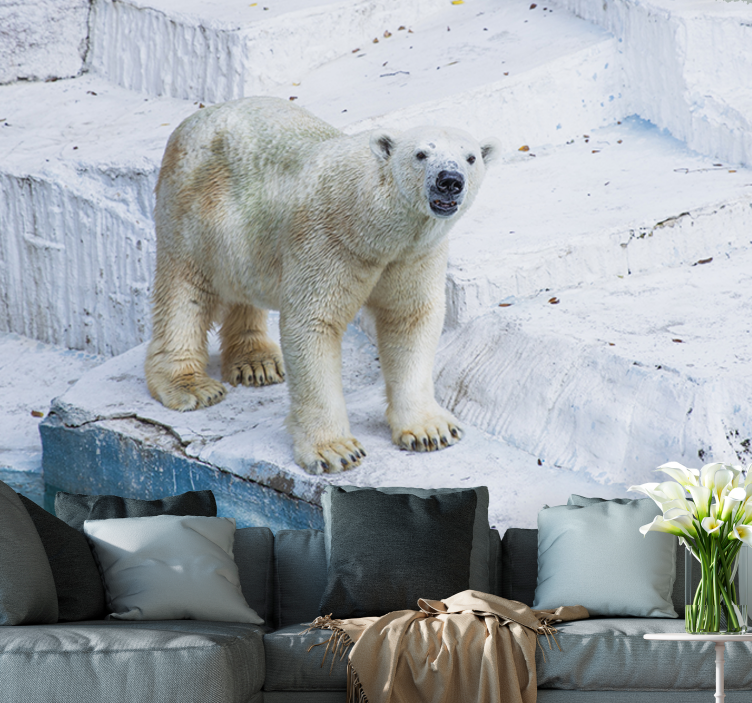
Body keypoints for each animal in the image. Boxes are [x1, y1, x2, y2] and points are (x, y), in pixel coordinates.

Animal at [145, 96, 498, 474]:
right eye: (421, 154)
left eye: (470, 157)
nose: (450, 181)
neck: (371, 223)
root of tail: (194, 119)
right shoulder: (328, 242)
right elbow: (313, 324)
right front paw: (336, 450)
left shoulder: (414, 254)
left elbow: (411, 318)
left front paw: (430, 430)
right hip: (192, 207)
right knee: (185, 292)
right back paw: (191, 385)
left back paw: (257, 362)